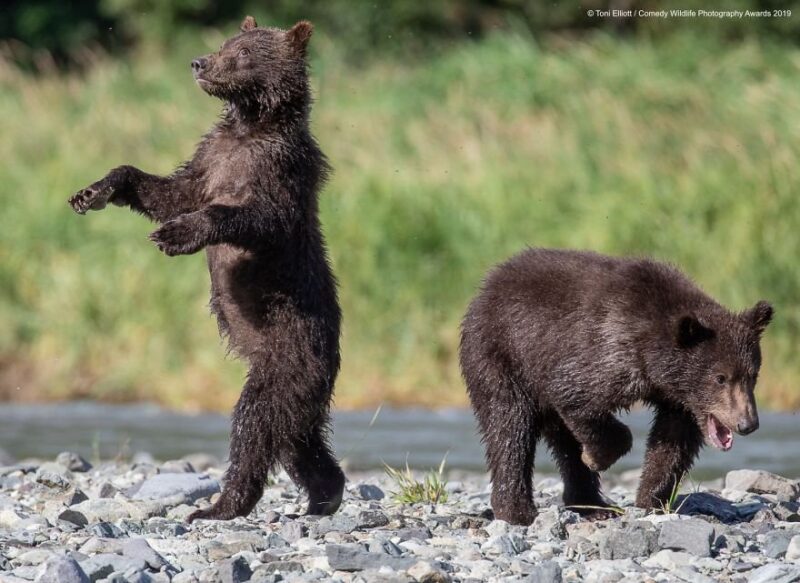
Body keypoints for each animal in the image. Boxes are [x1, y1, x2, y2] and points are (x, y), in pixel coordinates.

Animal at [68, 16, 346, 522]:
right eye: (225, 42)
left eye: (243, 53)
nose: (199, 62)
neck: (250, 125)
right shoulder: (211, 158)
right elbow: (168, 191)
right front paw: (94, 191)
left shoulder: (277, 169)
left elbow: (255, 217)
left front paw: (175, 235)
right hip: (297, 384)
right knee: (298, 438)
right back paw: (325, 493)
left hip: (287, 355)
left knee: (257, 422)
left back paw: (220, 505)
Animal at [459, 248, 773, 525]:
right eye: (720, 377)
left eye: (752, 375)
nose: (747, 423)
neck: (653, 359)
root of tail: (488, 283)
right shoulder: (607, 349)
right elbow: (575, 394)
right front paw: (596, 457)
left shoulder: (676, 398)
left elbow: (672, 442)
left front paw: (651, 498)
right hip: (503, 355)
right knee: (510, 427)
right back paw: (518, 511)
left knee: (561, 440)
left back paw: (591, 505)